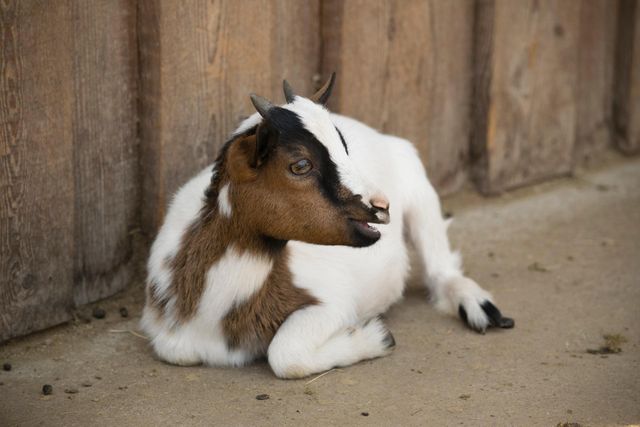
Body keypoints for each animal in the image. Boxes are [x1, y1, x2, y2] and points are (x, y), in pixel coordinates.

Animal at [140, 74, 514, 379]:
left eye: (343, 147)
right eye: (300, 165)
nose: (382, 206)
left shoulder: (333, 304)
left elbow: (284, 354)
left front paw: (377, 337)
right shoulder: (169, 338)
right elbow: (178, 351)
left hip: (417, 184)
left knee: (440, 265)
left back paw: (479, 307)